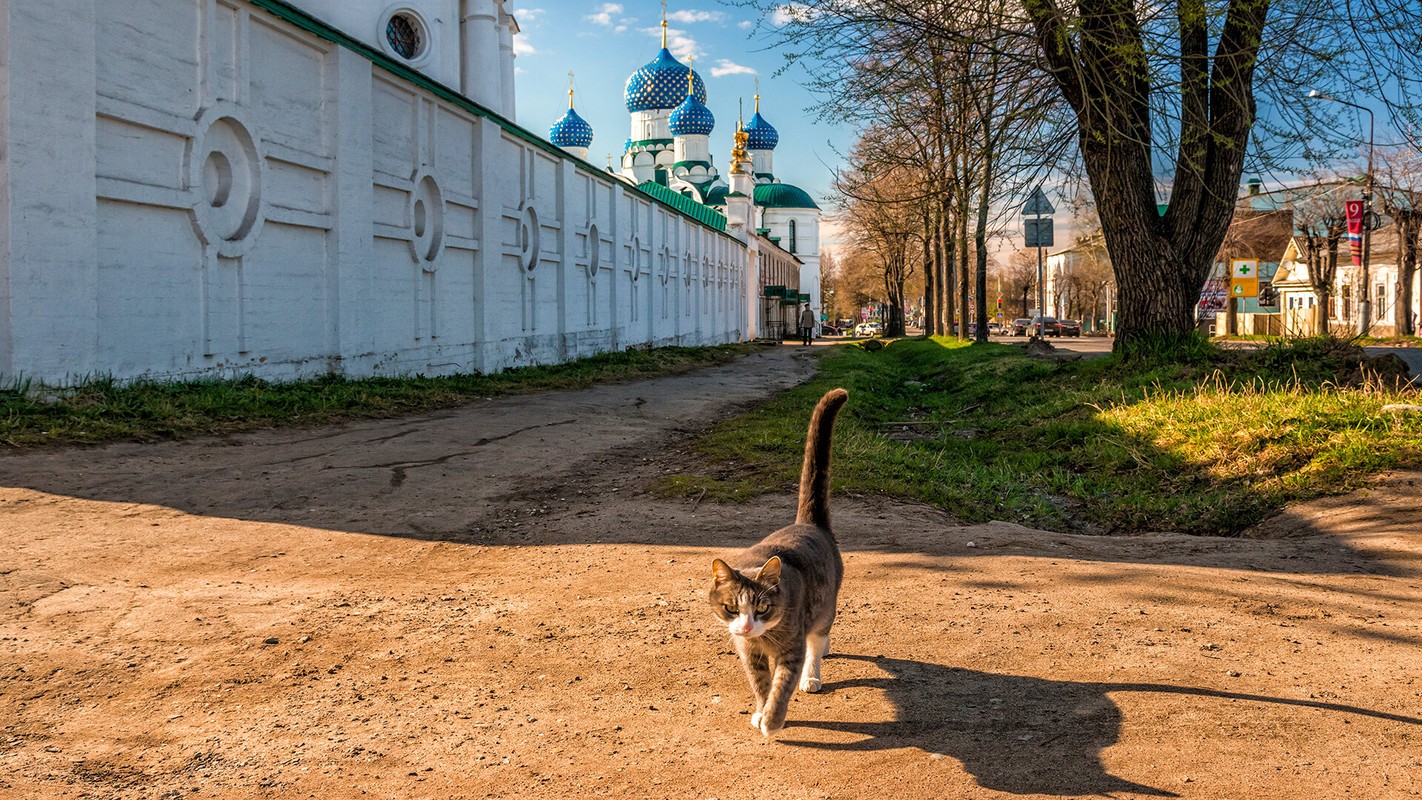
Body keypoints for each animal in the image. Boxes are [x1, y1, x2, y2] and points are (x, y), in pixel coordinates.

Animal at [708, 389, 841, 738]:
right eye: (731, 608)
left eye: (763, 608)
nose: (745, 625)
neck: (762, 638)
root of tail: (809, 524)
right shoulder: (748, 652)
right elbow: (760, 683)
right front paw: (760, 710)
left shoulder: (790, 649)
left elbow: (782, 684)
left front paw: (772, 719)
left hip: (825, 604)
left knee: (817, 637)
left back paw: (813, 673)